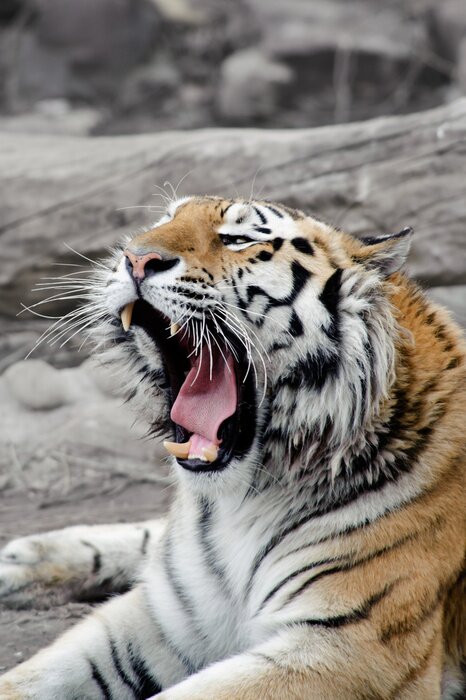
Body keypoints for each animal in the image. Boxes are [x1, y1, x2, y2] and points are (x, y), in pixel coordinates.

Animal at [0, 195, 465, 700]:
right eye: (163, 221)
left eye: (238, 239)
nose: (135, 258)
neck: (242, 502)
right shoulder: (162, 615)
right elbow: (31, 676)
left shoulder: (351, 646)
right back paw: (21, 558)